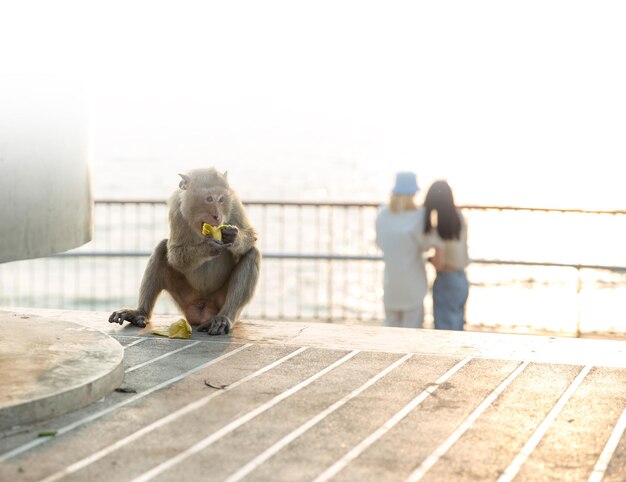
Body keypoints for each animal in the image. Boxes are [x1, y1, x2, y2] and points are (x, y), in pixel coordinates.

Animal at [108, 169, 260, 336]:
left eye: (221, 199)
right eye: (209, 199)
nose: (217, 216)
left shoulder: (234, 202)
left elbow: (251, 236)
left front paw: (232, 236)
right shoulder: (176, 208)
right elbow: (174, 253)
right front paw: (208, 247)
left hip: (220, 301)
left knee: (252, 253)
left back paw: (224, 318)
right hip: (186, 298)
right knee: (162, 248)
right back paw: (140, 313)